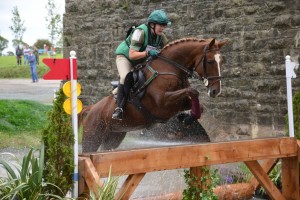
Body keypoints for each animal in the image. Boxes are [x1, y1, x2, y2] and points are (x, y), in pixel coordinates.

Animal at [79, 37, 227, 152]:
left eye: (222, 61)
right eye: (210, 61)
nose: (216, 91)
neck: (170, 68)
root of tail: (92, 109)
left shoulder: (179, 102)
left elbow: (198, 103)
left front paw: (186, 118)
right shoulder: (162, 103)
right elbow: (193, 91)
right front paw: (186, 117)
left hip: (114, 137)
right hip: (92, 137)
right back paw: (117, 112)